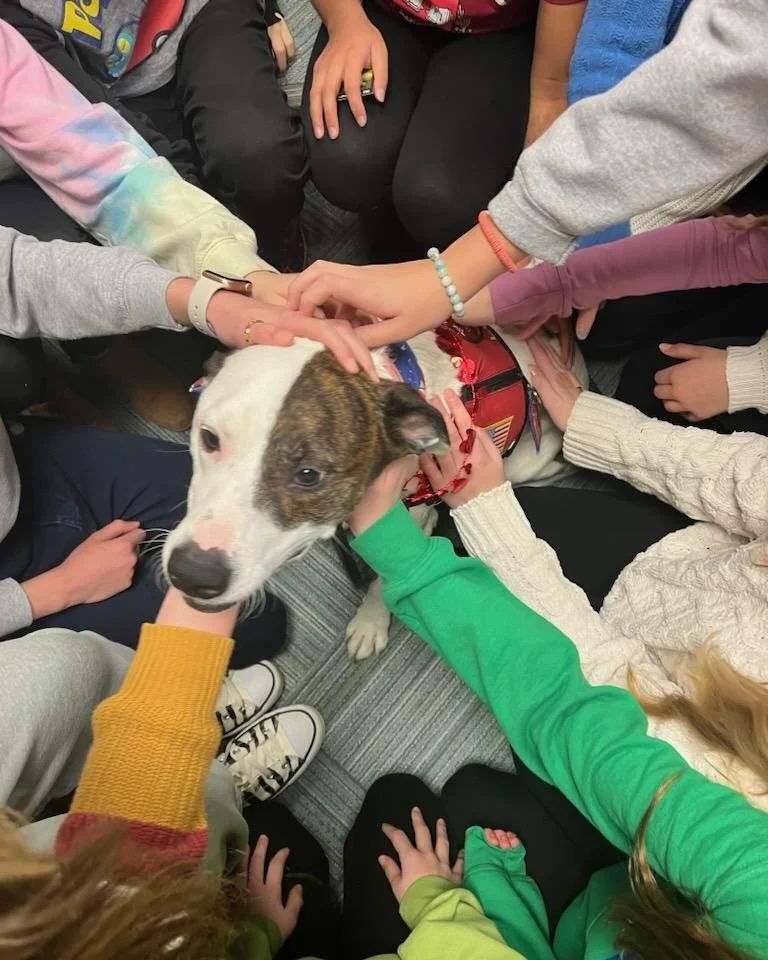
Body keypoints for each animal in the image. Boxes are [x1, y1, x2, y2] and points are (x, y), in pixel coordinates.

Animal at [165, 326, 588, 656]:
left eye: (308, 475)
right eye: (208, 438)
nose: (192, 572)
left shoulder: (412, 520)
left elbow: (384, 576)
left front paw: (370, 621)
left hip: (525, 463)